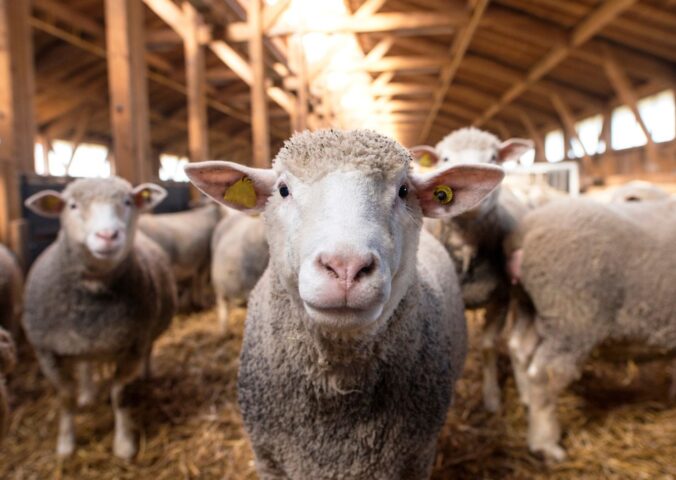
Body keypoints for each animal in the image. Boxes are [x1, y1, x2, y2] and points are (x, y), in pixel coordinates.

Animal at [22, 177, 177, 459]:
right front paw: (65, 445)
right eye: (72, 205)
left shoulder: (133, 345)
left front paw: (124, 444)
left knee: (148, 351)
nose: (108, 235)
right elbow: (66, 397)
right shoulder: (46, 352)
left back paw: (146, 374)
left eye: (127, 202)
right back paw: (87, 393)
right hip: (81, 343)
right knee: (86, 365)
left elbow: (119, 394)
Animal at [506, 197, 676, 461]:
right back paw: (545, 444)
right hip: (573, 317)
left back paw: (525, 399)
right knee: (546, 374)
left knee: (519, 348)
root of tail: (526, 230)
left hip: (529, 305)